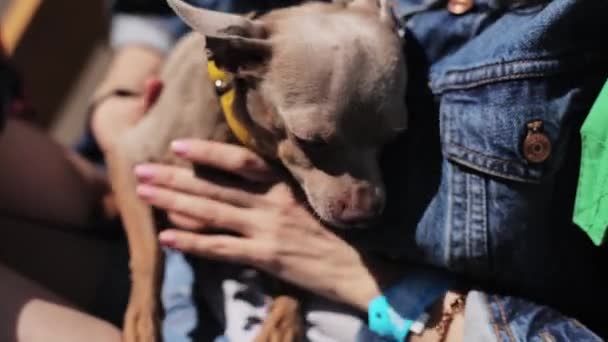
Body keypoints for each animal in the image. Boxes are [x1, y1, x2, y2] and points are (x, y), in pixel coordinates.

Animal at [105, 1, 408, 340]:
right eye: (309, 141)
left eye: (394, 138)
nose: (364, 214)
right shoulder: (127, 155)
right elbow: (149, 255)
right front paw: (143, 322)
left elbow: (293, 271)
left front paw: (284, 322)